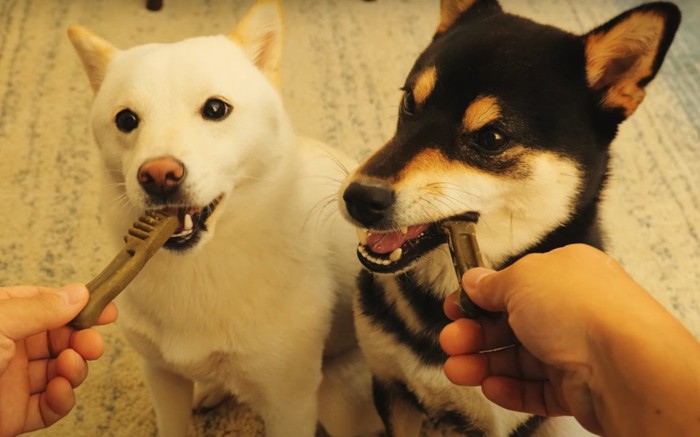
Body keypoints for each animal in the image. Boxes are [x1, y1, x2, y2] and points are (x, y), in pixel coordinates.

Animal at [67, 1, 380, 434]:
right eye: (126, 120)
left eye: (216, 109)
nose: (158, 176)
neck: (200, 267)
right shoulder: (161, 376)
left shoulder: (290, 403)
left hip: (335, 398)